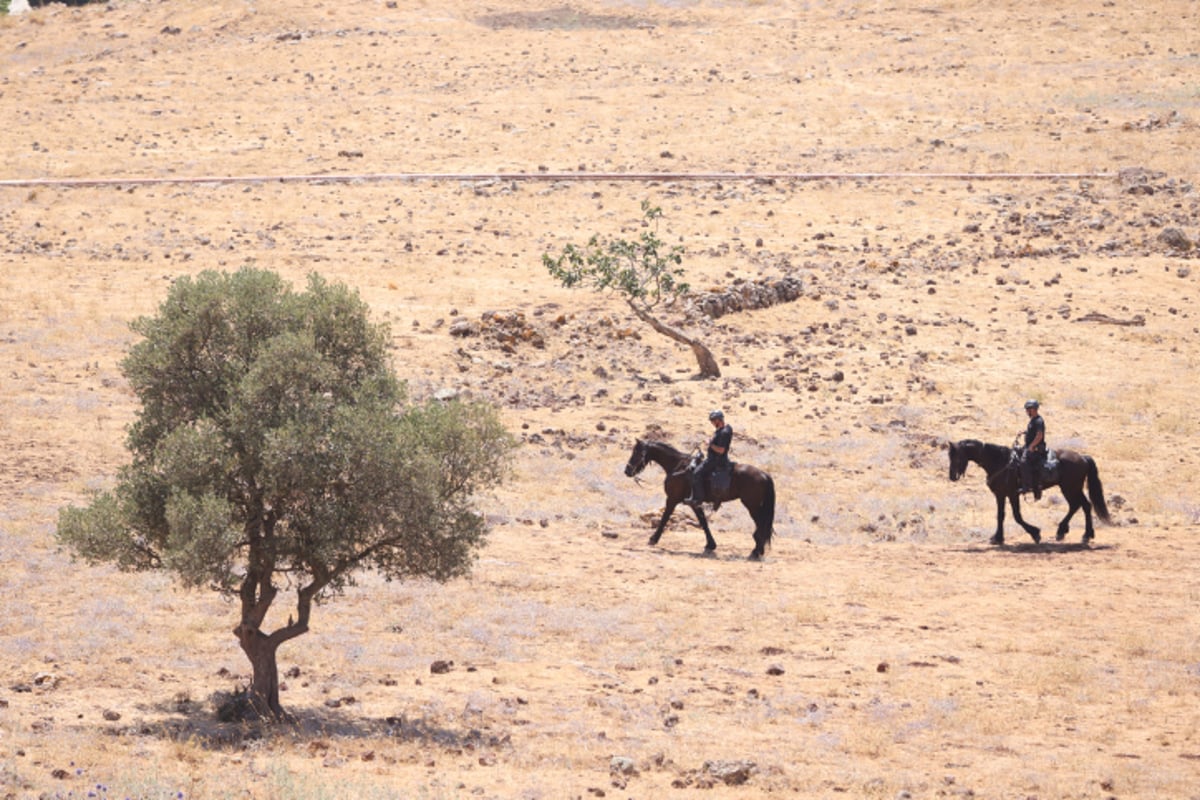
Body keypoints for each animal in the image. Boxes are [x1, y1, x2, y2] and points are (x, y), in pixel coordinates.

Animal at [624, 438, 772, 563]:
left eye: (636, 452)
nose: (627, 471)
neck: (678, 467)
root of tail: (764, 474)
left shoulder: (672, 499)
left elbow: (665, 517)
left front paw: (653, 539)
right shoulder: (694, 503)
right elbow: (703, 522)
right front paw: (710, 545)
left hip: (752, 506)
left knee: (761, 526)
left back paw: (755, 552)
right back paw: (758, 551)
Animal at [950, 441, 1108, 546]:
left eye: (956, 457)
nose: (952, 476)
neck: (1001, 462)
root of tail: (1083, 457)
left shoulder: (1012, 494)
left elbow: (1017, 516)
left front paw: (1035, 533)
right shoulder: (1000, 494)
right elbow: (1000, 516)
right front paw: (997, 538)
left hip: (1070, 488)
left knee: (1082, 505)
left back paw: (1081, 534)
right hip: (1071, 489)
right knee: (1080, 506)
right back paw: (1070, 532)